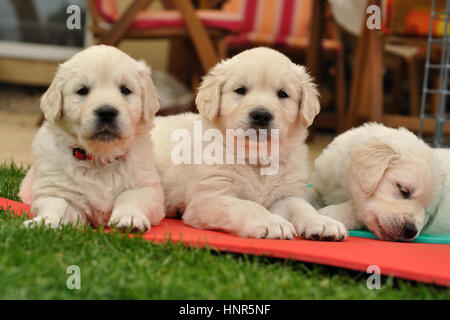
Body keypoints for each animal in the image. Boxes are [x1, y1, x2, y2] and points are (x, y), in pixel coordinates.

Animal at [18, 44, 165, 230]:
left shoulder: (146, 186)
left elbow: (130, 198)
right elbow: (57, 206)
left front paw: (129, 218)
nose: (107, 112)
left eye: (125, 90)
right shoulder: (56, 189)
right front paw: (45, 223)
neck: (100, 161)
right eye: (82, 91)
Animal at [153, 46, 346, 239]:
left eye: (283, 94)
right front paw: (273, 222)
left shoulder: (286, 194)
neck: (257, 157)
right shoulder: (209, 197)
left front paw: (322, 222)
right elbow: (248, 205)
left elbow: (301, 206)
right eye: (240, 90)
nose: (261, 115)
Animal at [312, 124, 450, 241]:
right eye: (403, 190)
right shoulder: (323, 181)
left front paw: (328, 213)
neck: (344, 189)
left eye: (427, 212)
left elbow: (355, 208)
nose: (411, 230)